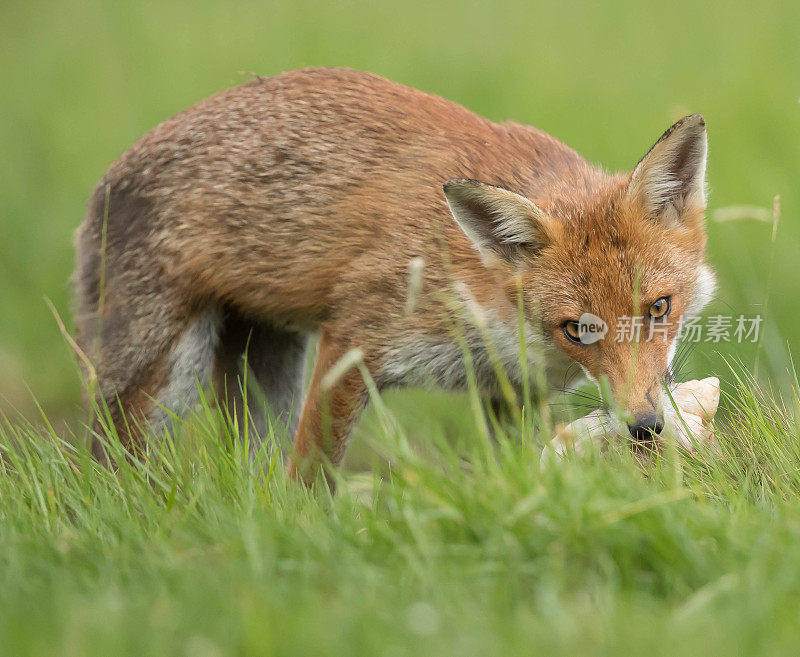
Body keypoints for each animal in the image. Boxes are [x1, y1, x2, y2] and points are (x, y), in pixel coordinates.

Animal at [73, 66, 712, 482]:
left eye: (659, 308)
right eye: (578, 329)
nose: (644, 426)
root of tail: (106, 180)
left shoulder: (507, 394)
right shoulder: (354, 342)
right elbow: (310, 479)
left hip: (266, 375)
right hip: (162, 383)